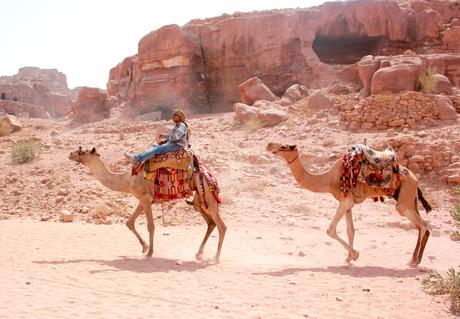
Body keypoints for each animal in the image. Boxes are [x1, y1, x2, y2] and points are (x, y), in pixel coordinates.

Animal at [68, 148, 226, 262]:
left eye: (82, 152)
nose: (70, 154)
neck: (127, 180)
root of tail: (209, 174)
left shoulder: (145, 198)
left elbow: (151, 226)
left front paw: (149, 252)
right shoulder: (142, 200)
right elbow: (129, 222)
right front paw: (144, 247)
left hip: (207, 195)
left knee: (221, 226)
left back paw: (216, 258)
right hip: (200, 199)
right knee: (211, 223)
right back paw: (199, 253)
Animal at [266, 143, 432, 268]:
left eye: (284, 146)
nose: (269, 146)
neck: (327, 179)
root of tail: (416, 181)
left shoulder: (345, 201)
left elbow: (330, 230)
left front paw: (355, 255)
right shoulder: (347, 202)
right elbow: (350, 230)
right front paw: (348, 258)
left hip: (405, 195)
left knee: (422, 224)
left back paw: (414, 261)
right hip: (408, 197)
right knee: (421, 226)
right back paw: (413, 260)